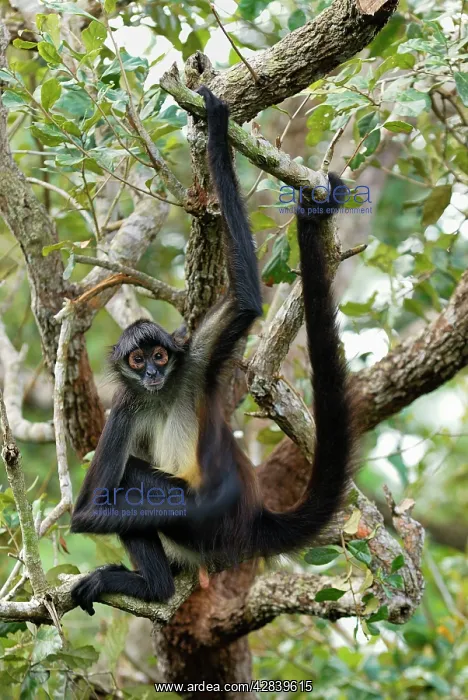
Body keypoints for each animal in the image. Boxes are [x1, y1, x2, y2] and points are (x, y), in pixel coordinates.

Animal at [70, 87, 354, 616]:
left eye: (160, 357)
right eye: (137, 361)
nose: (153, 373)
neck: (160, 394)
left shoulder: (193, 359)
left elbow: (245, 302)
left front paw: (218, 126)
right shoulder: (126, 406)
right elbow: (88, 513)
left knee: (136, 479)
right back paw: (156, 587)